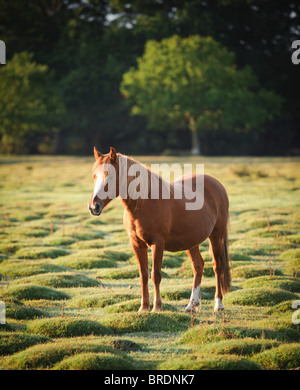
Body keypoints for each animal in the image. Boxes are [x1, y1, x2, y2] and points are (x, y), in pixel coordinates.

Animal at [88, 148, 231, 312]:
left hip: (216, 236)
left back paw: (218, 304)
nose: (94, 207)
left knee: (217, 266)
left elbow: (155, 275)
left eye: (110, 176)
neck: (144, 203)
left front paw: (157, 307)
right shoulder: (137, 245)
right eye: (94, 176)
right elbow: (143, 275)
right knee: (198, 266)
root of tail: (217, 184)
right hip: (191, 241)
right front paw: (144, 307)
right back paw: (191, 304)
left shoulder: (158, 243)